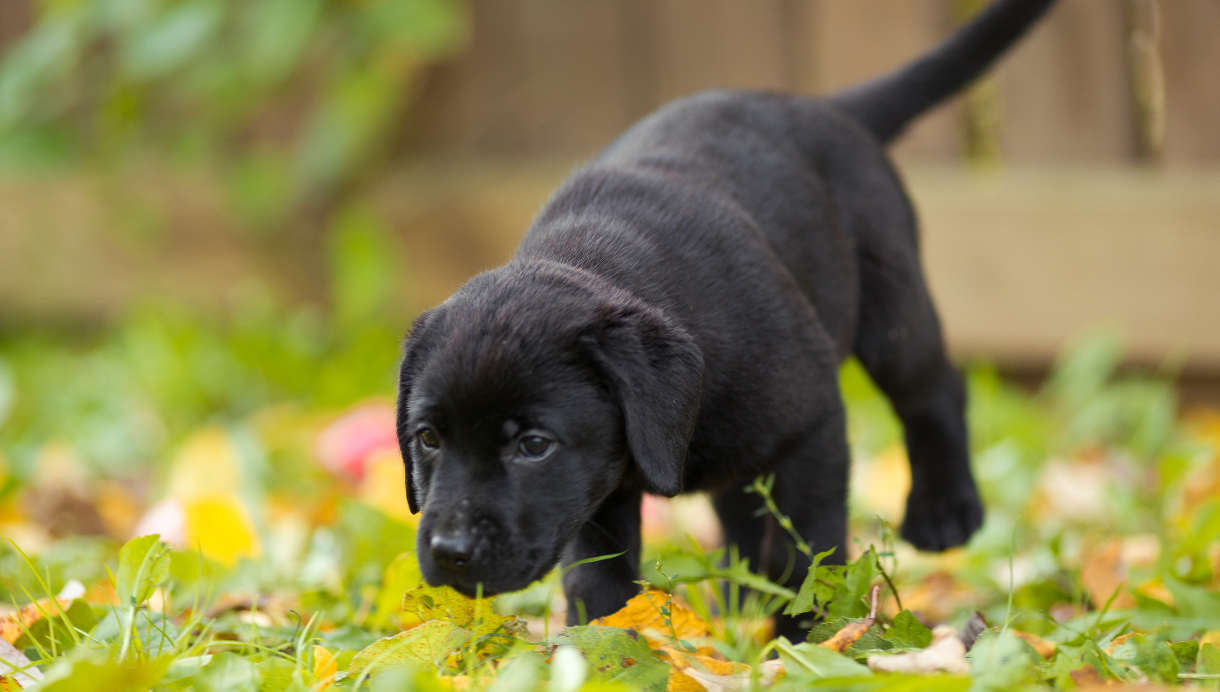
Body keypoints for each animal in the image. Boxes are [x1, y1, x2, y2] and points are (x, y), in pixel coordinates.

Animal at [395, 0, 1054, 639]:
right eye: (427, 438)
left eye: (534, 446)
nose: (450, 551)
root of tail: (825, 107)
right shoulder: (597, 489)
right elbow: (597, 570)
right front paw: (601, 647)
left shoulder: (812, 426)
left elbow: (803, 551)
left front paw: (807, 640)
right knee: (741, 503)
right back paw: (738, 601)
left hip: (891, 304)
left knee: (932, 390)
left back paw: (944, 511)